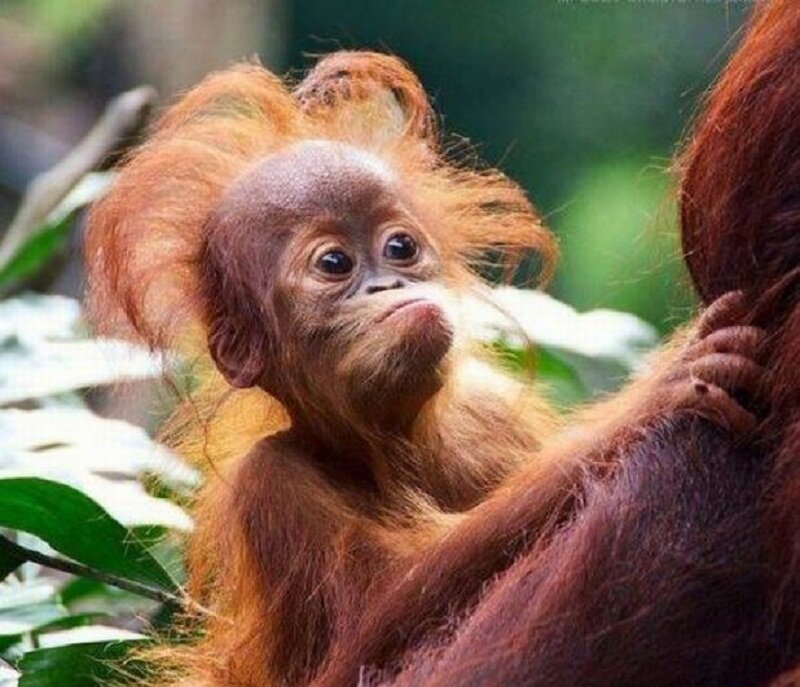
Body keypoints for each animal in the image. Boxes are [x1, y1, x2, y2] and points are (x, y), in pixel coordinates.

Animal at [85, 52, 766, 687]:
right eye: (334, 263)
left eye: (400, 247)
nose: (388, 283)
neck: (396, 440)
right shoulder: (269, 483)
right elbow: (380, 610)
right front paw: (653, 396)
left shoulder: (487, 413)